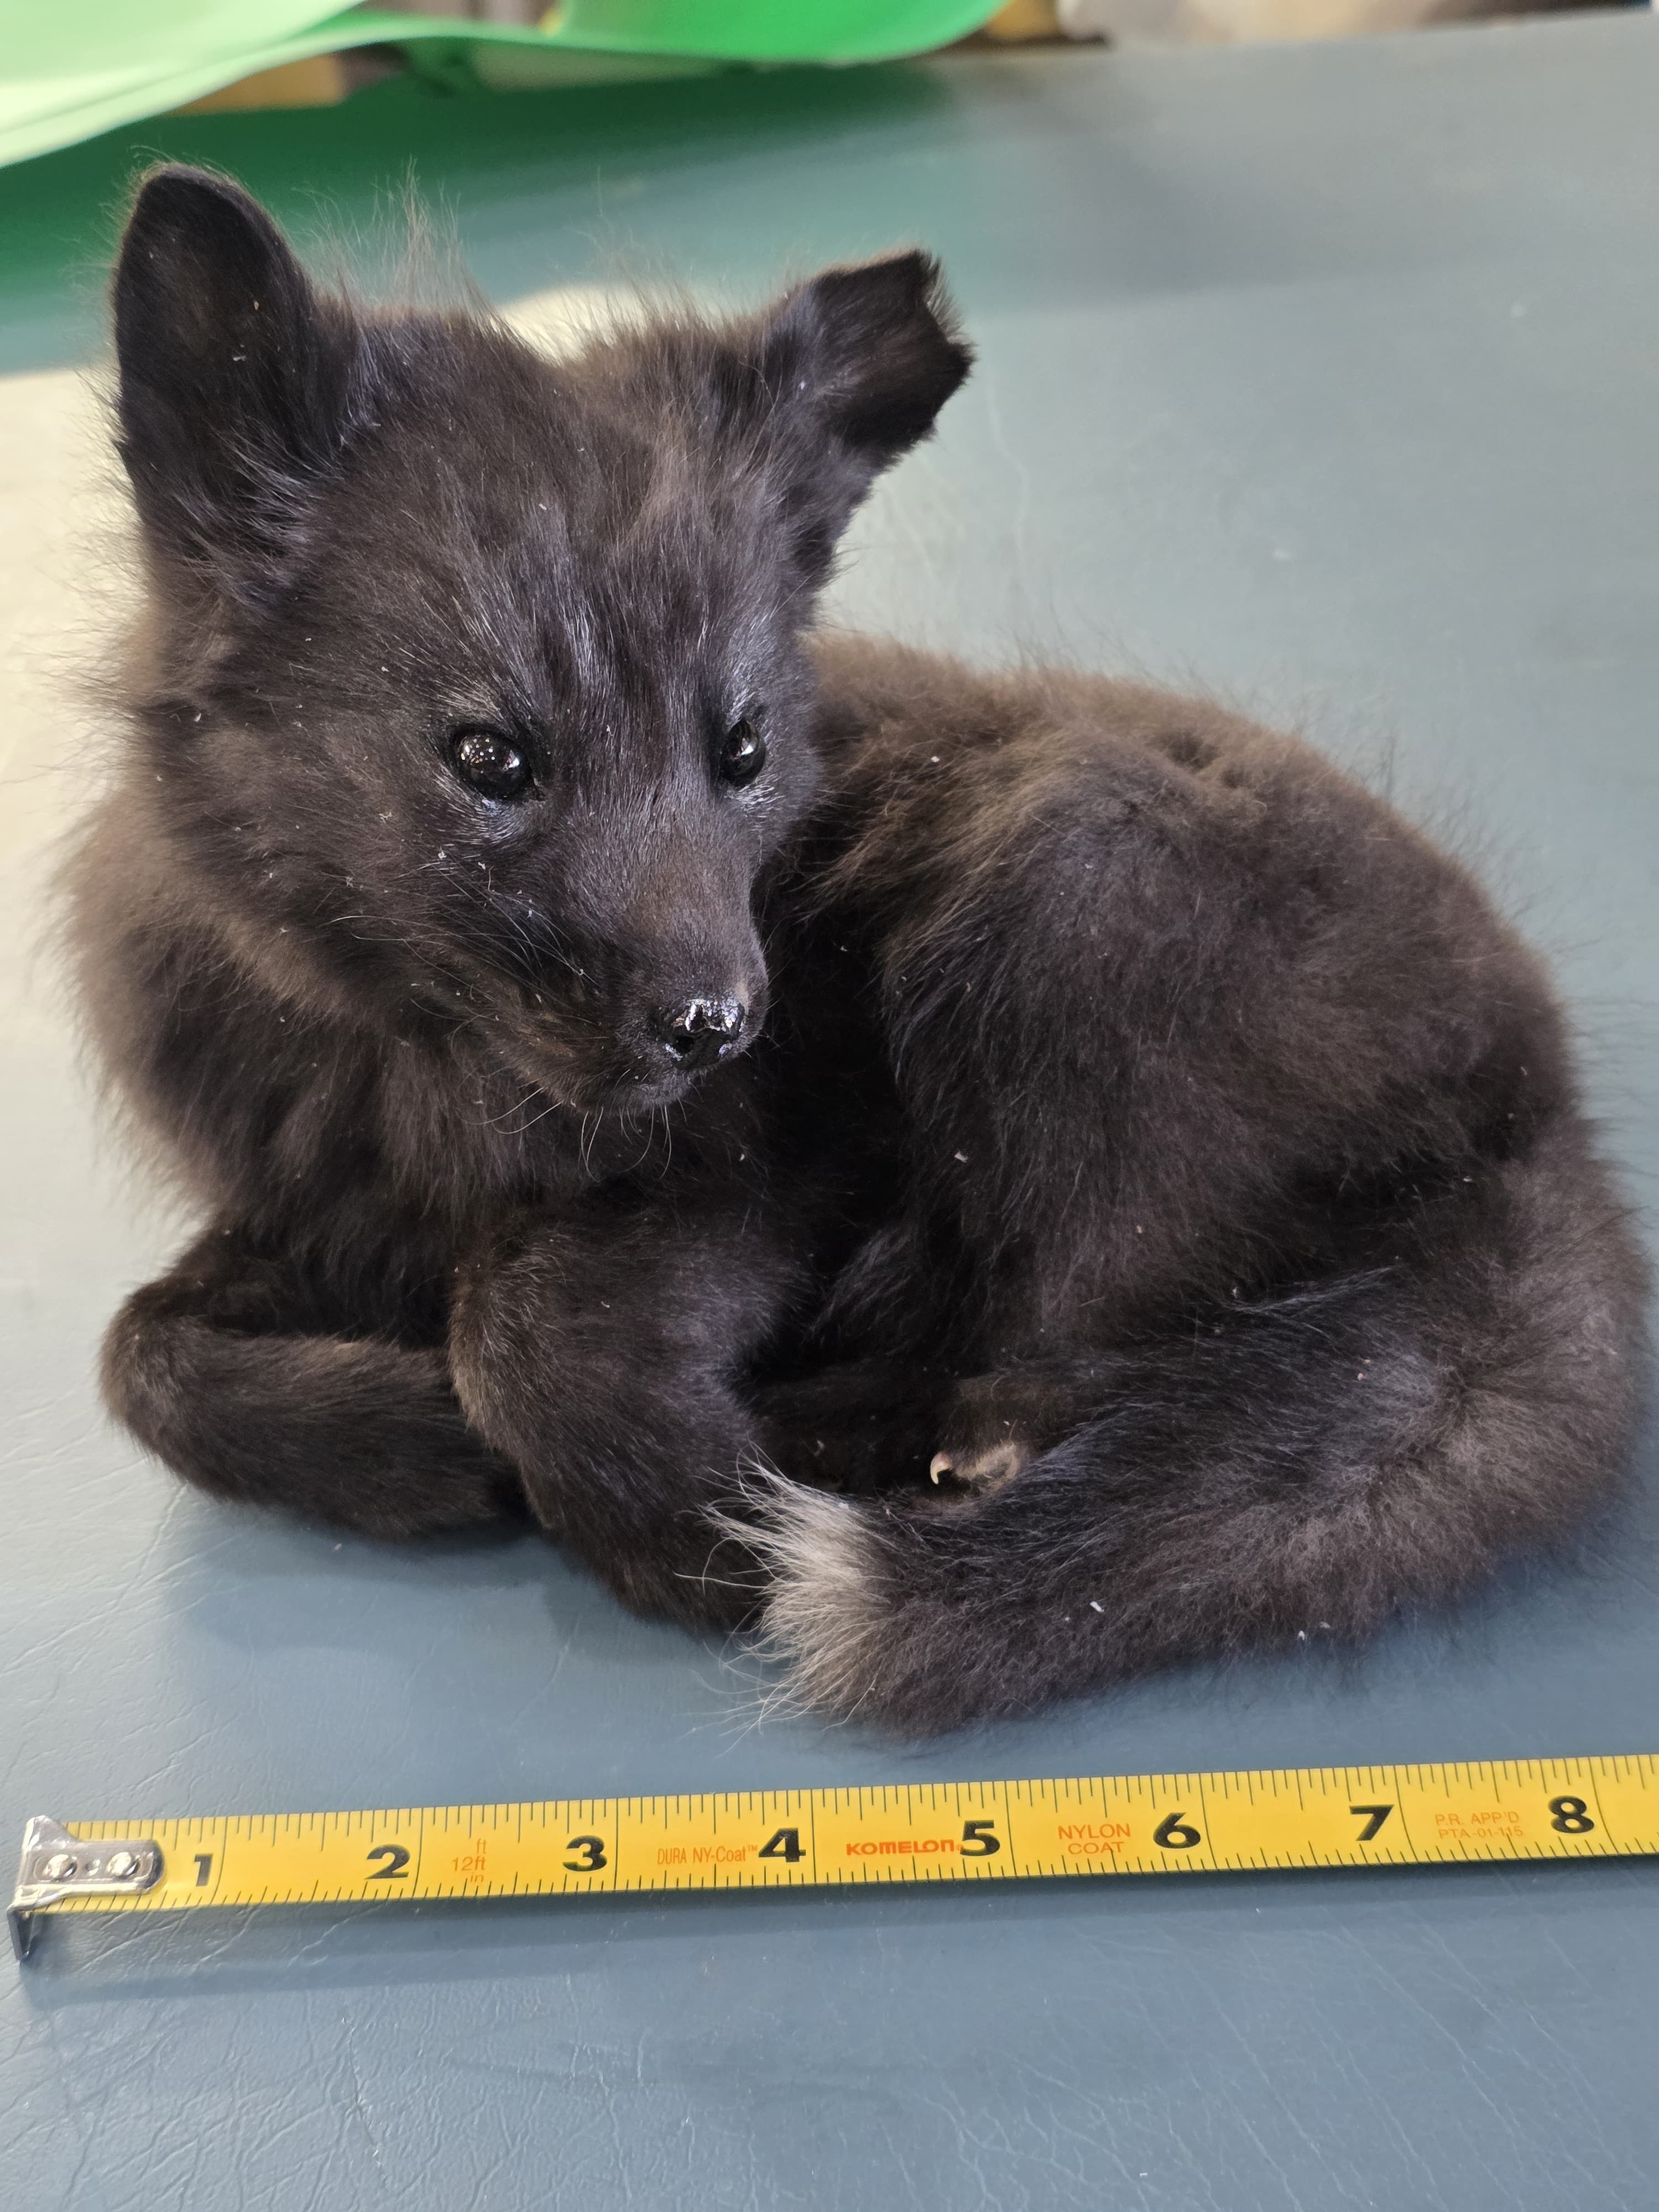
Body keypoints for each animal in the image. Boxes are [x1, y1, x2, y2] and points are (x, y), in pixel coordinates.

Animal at [69, 164, 1649, 1732]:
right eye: (489, 757)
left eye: (744, 750)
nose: (719, 1026)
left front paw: (673, 1513)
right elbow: (136, 1357)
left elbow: (517, 1315)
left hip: (1058, 868)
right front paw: (401, 1433)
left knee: (1065, 1333)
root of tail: (1550, 1111)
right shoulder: (303, 1205)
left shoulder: (784, 1164)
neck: (406, 1064)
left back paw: (846, 1439)